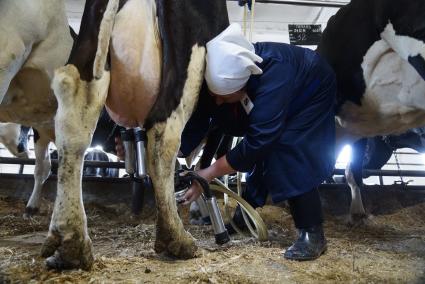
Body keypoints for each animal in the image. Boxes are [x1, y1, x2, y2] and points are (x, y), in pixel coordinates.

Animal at [41, 0, 229, 270]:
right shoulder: (220, 127)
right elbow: (207, 162)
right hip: (189, 52)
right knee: (164, 131)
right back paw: (176, 237)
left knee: (74, 100)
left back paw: (71, 243)